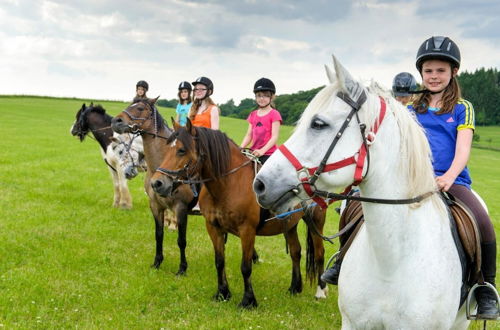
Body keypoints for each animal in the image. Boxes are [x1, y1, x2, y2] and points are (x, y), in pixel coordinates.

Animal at [111, 98, 197, 276]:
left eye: (140, 108)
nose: (116, 121)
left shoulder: (180, 208)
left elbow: (181, 240)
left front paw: (182, 269)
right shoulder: (156, 205)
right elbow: (159, 234)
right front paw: (157, 262)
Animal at [149, 120, 328, 308]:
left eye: (182, 150)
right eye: (167, 147)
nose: (157, 183)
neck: (229, 185)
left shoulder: (247, 231)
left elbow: (246, 267)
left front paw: (248, 300)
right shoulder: (213, 227)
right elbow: (219, 261)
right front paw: (222, 293)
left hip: (316, 222)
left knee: (319, 253)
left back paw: (321, 292)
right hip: (290, 225)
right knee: (295, 252)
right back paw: (295, 287)